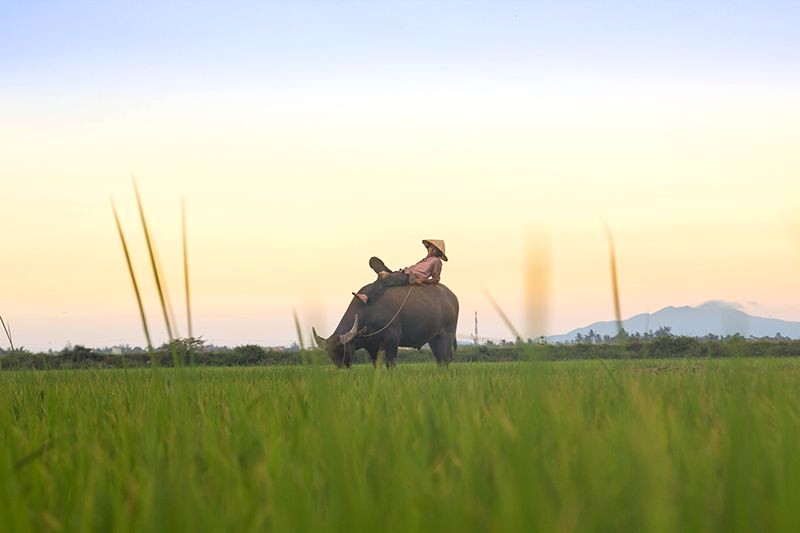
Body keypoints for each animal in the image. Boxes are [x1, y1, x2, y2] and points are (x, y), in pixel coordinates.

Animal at [314, 282, 462, 366]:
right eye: (330, 354)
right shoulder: (372, 348)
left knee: (447, 358)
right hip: (433, 339)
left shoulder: (392, 342)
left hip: (447, 335)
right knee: (440, 359)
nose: (342, 367)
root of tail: (452, 296)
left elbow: (390, 364)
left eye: (343, 350)